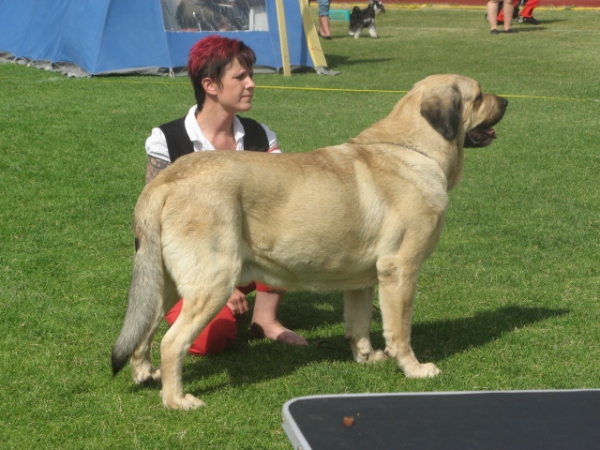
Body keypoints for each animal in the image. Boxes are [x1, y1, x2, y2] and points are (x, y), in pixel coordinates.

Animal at [111, 74, 506, 412]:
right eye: (479, 95)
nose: (504, 101)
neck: (413, 147)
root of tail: (163, 182)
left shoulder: (362, 280)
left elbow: (359, 323)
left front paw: (367, 358)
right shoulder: (400, 271)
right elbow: (400, 331)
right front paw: (413, 369)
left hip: (164, 284)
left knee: (144, 331)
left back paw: (146, 375)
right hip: (214, 281)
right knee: (172, 341)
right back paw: (177, 400)